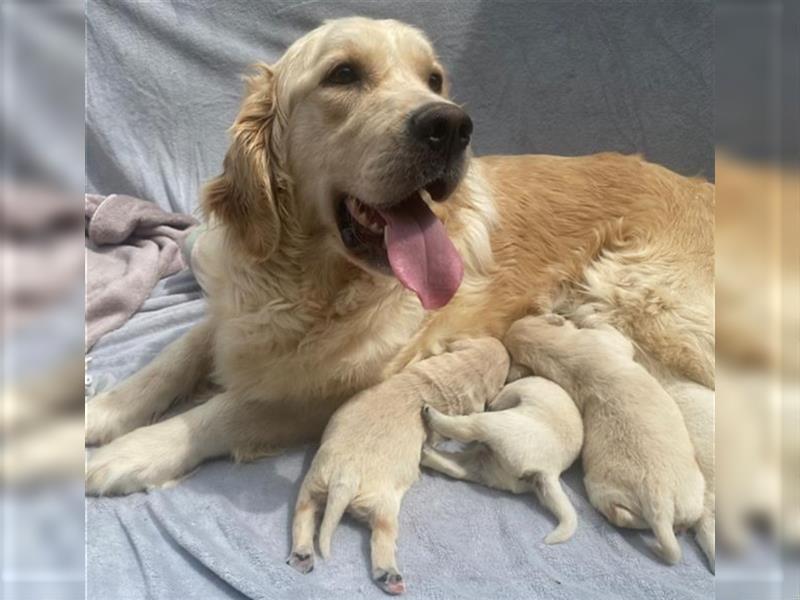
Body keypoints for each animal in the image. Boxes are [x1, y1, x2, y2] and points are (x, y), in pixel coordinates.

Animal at [84, 16, 716, 500]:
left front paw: (138, 450)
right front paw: (107, 411)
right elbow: (172, 358)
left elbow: (226, 410)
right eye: (343, 74)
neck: (308, 281)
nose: (451, 124)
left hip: (642, 300)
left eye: (433, 78)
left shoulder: (334, 388)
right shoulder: (230, 312)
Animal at [290, 338, 510, 596]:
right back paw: (389, 576)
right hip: (383, 506)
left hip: (313, 482)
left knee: (303, 514)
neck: (454, 375)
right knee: (381, 538)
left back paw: (302, 555)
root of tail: (345, 476)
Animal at [418, 378, 580, 548]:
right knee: (458, 468)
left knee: (463, 428)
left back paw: (431, 414)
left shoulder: (509, 394)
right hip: (489, 467)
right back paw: (426, 453)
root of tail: (549, 471)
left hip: (495, 424)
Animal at [504, 316, 704, 564]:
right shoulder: (607, 340)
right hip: (611, 491)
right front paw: (589, 318)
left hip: (688, 500)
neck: (549, 348)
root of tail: (659, 505)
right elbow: (615, 336)